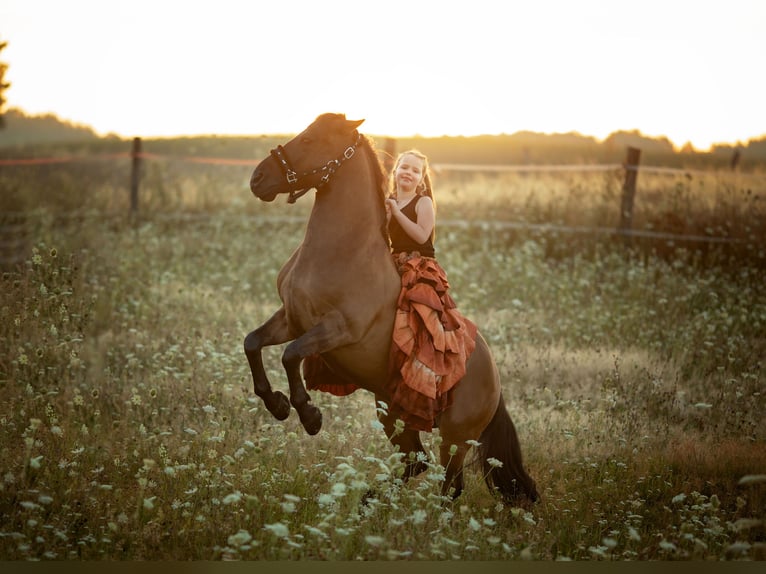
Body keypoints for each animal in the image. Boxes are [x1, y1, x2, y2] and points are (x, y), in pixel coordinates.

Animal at [246, 113, 540, 504]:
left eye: (309, 140)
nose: (258, 179)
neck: (342, 251)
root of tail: (495, 379)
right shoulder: (291, 320)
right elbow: (252, 344)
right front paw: (277, 404)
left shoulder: (338, 330)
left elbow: (290, 356)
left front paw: (309, 415)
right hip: (391, 412)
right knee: (417, 462)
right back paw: (368, 501)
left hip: (455, 438)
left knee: (449, 483)